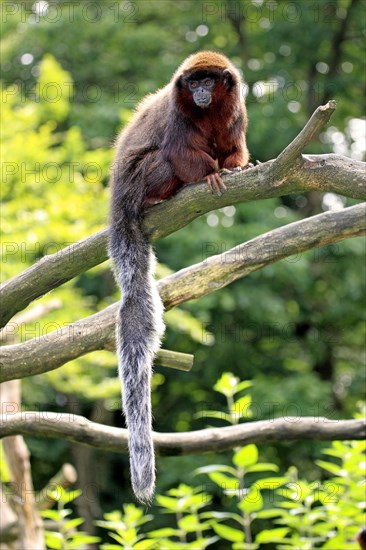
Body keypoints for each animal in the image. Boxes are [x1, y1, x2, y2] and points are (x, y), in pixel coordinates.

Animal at [108, 51, 250, 504]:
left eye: (209, 81)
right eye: (193, 84)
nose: (202, 92)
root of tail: (117, 201)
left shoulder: (237, 111)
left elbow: (234, 147)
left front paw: (236, 166)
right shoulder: (176, 113)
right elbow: (180, 151)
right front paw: (208, 175)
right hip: (137, 180)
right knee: (163, 159)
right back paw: (159, 196)